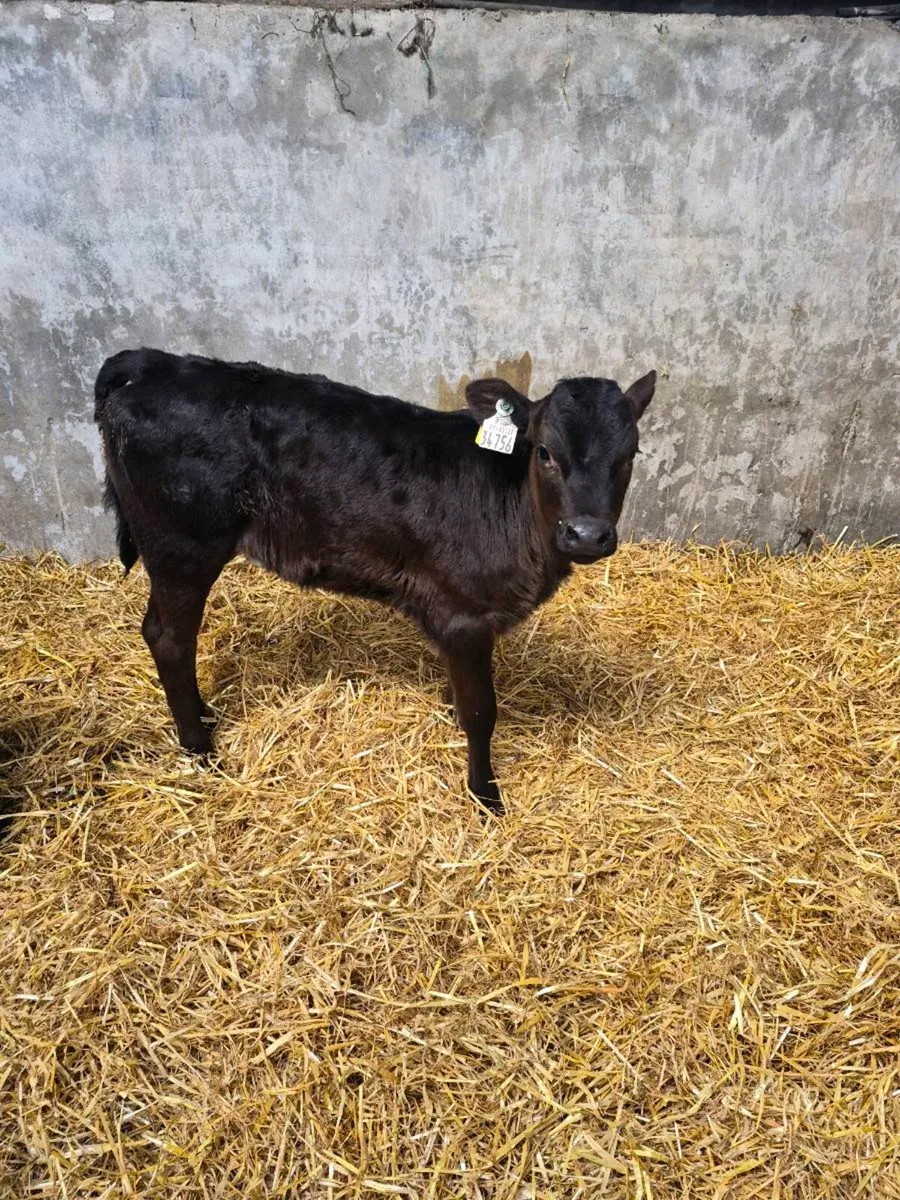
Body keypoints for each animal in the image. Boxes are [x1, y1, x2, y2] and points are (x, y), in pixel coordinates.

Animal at [94, 348, 655, 815]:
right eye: (544, 452)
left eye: (629, 456)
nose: (586, 534)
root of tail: (152, 362)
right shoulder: (464, 617)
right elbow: (481, 712)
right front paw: (485, 795)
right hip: (183, 547)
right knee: (170, 639)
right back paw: (200, 748)